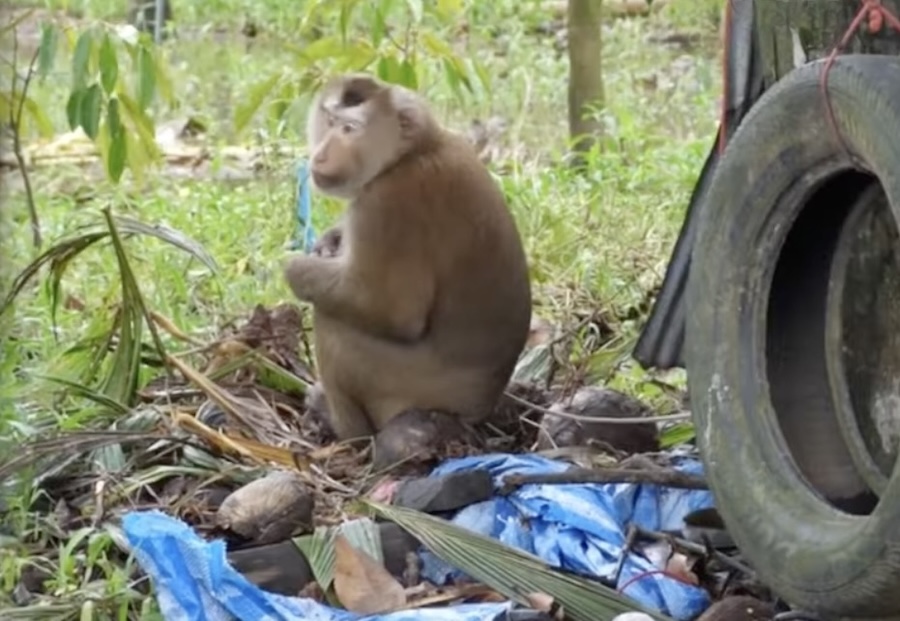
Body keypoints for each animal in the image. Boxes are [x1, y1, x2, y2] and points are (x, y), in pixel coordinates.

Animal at [284, 72, 532, 444]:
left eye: (350, 128)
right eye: (329, 120)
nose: (322, 154)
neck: (413, 152)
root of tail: (480, 407)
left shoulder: (386, 207)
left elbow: (392, 311)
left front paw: (294, 269)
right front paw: (331, 241)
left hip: (405, 390)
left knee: (333, 322)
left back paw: (344, 428)